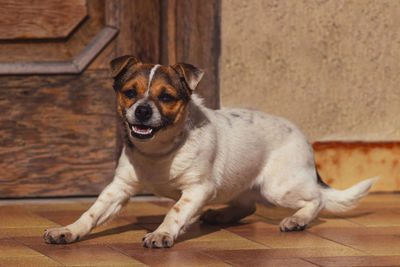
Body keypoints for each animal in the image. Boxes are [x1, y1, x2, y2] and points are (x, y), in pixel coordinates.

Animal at [43, 56, 378, 249]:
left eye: (166, 97)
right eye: (130, 93)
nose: (142, 110)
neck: (159, 151)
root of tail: (306, 141)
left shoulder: (197, 189)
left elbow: (175, 211)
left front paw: (161, 234)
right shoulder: (119, 189)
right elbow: (91, 213)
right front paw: (68, 231)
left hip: (278, 187)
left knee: (316, 199)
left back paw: (297, 220)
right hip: (244, 185)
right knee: (248, 205)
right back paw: (220, 214)